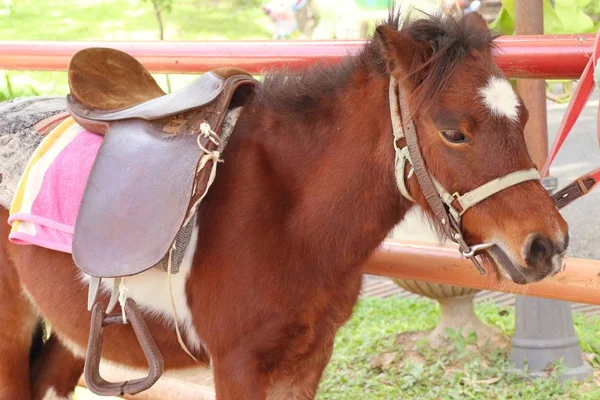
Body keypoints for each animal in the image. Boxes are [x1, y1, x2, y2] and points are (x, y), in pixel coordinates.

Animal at [0, 10, 568, 400]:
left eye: (520, 118)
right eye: (454, 132)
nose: (548, 246)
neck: (285, 217)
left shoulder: (307, 359)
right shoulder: (237, 365)